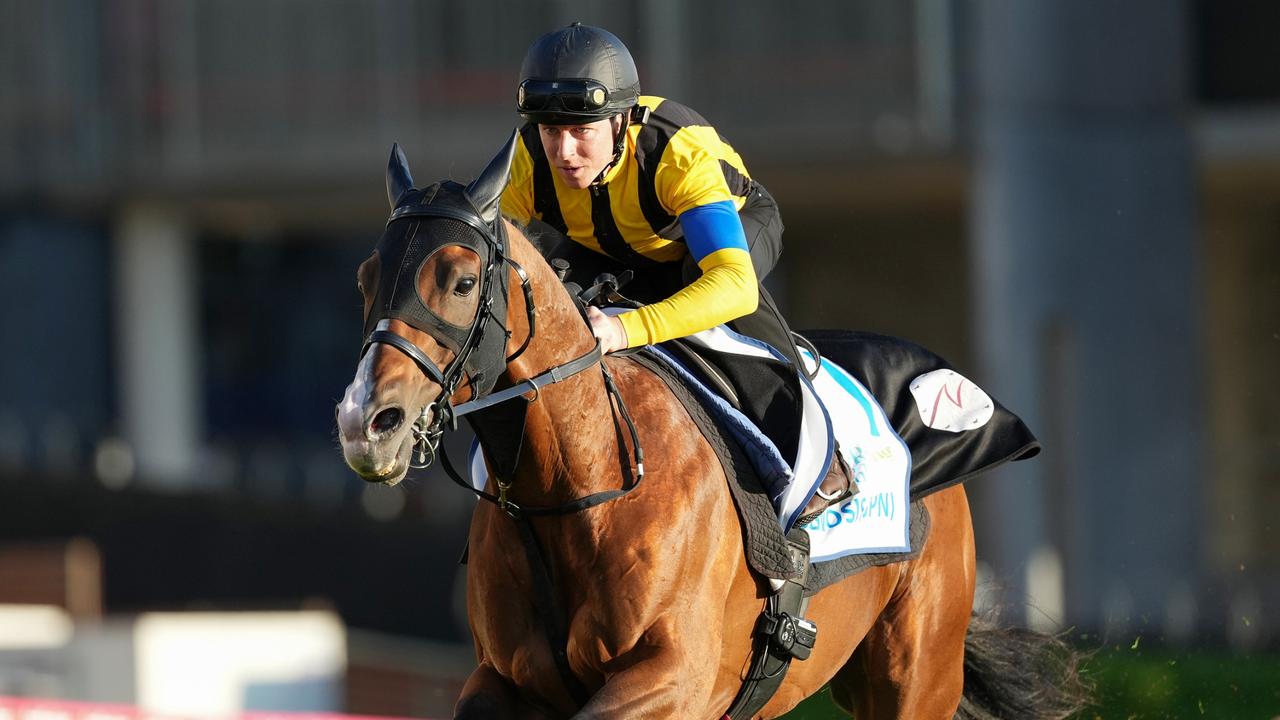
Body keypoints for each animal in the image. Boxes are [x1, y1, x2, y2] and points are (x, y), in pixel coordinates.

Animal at [335, 135, 1085, 717]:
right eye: (365, 278)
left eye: (462, 281)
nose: (365, 423)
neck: (580, 483)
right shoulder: (505, 680)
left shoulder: (672, 679)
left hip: (916, 677)